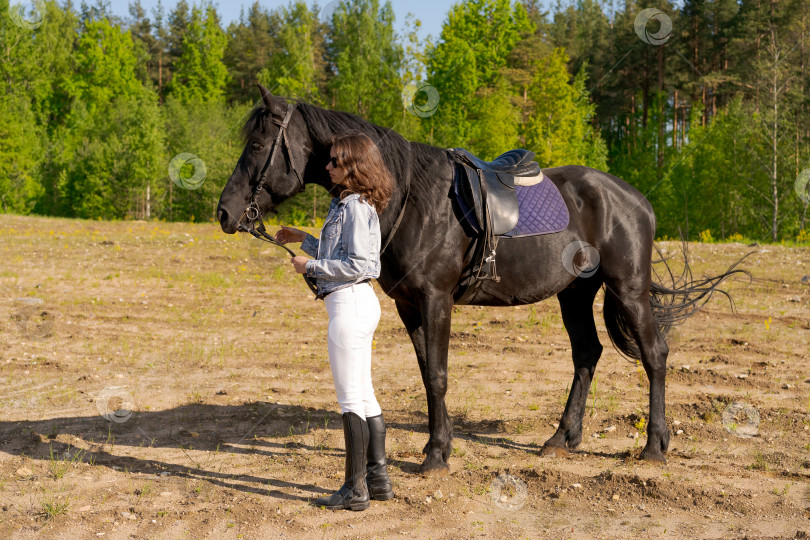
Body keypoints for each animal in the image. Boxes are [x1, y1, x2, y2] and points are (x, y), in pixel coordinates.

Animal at [216, 85, 744, 476]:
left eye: (258, 146)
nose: (225, 212)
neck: (407, 197)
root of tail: (636, 199)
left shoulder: (436, 300)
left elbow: (439, 374)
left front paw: (435, 456)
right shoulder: (410, 305)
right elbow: (428, 373)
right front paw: (439, 445)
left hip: (628, 289)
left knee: (655, 355)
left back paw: (653, 446)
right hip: (575, 294)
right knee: (587, 355)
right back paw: (562, 438)